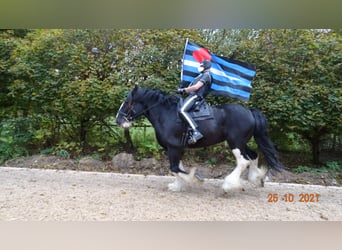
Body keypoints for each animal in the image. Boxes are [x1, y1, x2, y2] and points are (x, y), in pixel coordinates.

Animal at [116, 85, 282, 192]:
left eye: (128, 102)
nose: (118, 120)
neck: (166, 114)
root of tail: (249, 111)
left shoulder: (173, 147)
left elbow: (175, 168)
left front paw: (195, 178)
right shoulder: (176, 148)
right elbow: (177, 167)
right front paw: (177, 186)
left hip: (235, 142)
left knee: (243, 161)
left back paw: (228, 185)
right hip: (242, 143)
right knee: (253, 156)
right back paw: (257, 178)